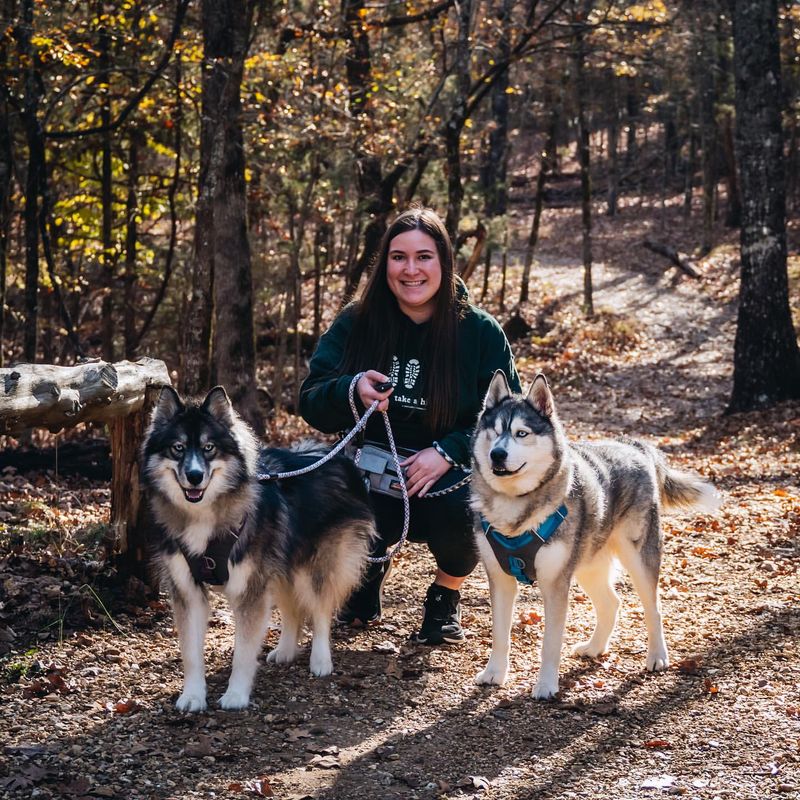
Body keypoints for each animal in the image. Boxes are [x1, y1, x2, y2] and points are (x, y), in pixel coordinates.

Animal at [142, 384, 376, 708]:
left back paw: (320, 660)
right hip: (280, 567)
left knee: (320, 609)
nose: (194, 476)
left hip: (312, 568)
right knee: (292, 609)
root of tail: (333, 457)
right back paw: (286, 651)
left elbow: (243, 652)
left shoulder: (249, 590)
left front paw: (236, 695)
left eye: (209, 448)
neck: (204, 515)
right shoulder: (188, 590)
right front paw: (193, 696)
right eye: (178, 448)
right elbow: (190, 653)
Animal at [468, 372, 720, 696]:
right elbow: (500, 634)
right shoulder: (500, 579)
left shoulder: (554, 584)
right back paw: (595, 647)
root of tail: (633, 444)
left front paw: (546, 685)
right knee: (612, 603)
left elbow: (550, 644)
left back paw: (657, 656)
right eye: (495, 432)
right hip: (587, 565)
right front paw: (495, 673)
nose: (497, 454)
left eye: (521, 433)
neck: (516, 508)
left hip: (638, 558)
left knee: (654, 608)